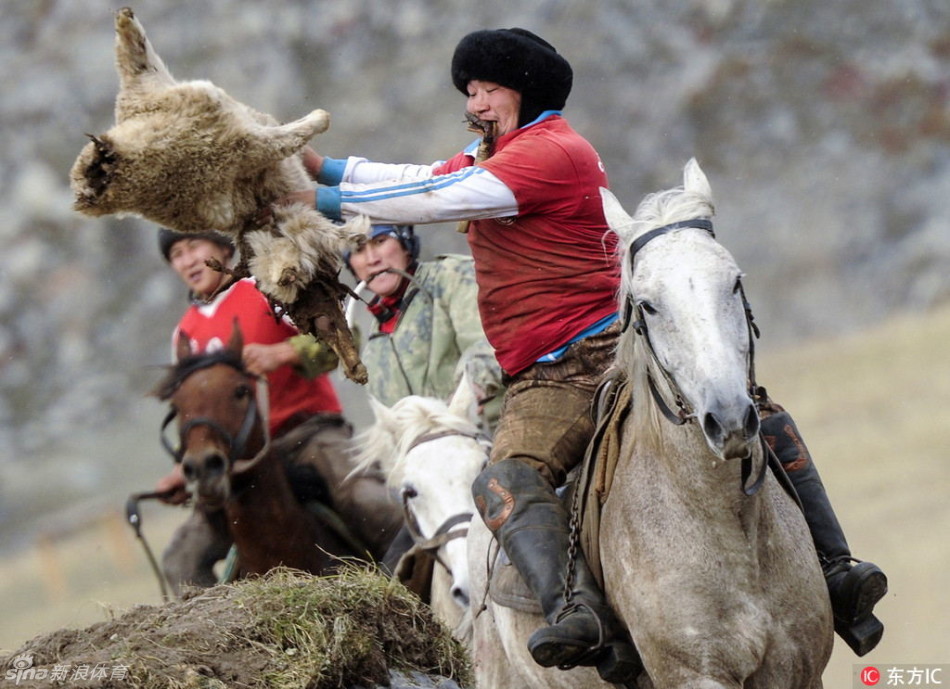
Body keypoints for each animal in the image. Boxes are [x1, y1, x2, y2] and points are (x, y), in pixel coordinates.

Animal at [468, 159, 832, 688]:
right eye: (648, 304)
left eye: (734, 282)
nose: (729, 419)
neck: (726, 526)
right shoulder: (695, 676)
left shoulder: (798, 671)